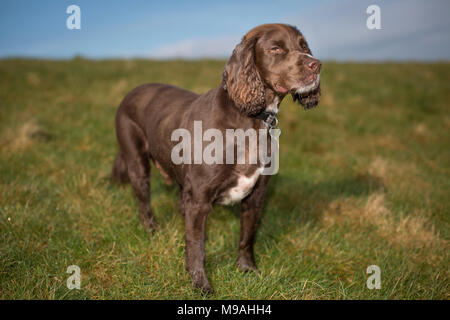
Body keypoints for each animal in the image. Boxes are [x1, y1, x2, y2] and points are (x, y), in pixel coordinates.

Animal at [110, 23, 320, 292]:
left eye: (304, 46)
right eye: (275, 48)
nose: (316, 65)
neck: (249, 121)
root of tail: (132, 90)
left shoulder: (256, 195)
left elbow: (247, 236)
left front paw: (247, 269)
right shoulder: (199, 196)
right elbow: (196, 246)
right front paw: (200, 284)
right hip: (136, 161)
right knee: (144, 201)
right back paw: (151, 228)